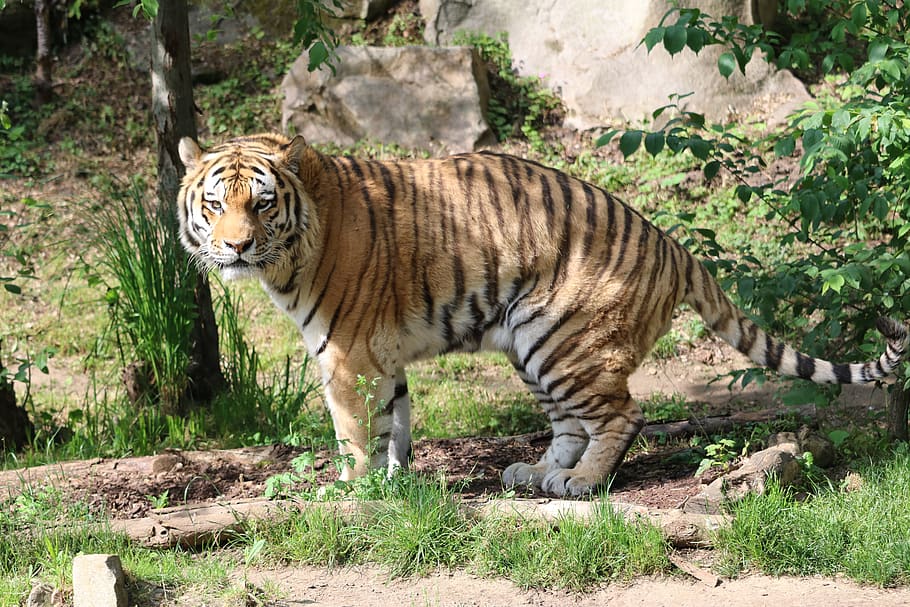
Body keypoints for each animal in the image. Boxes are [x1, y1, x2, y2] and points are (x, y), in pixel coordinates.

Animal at [176, 132, 909, 497]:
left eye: (262, 203)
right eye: (215, 203)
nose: (234, 247)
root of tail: (671, 243)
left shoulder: (344, 356)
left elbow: (355, 432)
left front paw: (349, 493)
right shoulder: (380, 358)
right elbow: (396, 426)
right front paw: (393, 488)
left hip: (560, 337)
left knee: (621, 415)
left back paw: (580, 484)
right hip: (529, 342)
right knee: (570, 423)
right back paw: (537, 473)